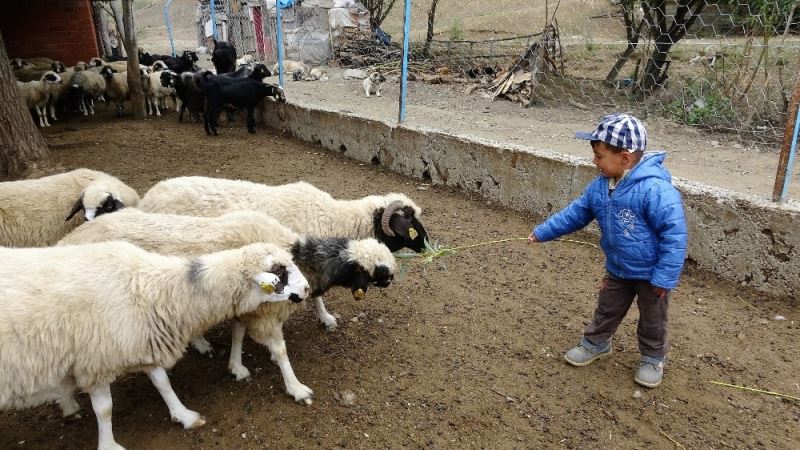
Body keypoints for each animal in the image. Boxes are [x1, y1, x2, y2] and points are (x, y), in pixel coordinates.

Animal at [0, 240, 310, 449]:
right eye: (280, 274)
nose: (307, 289)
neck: (152, 289)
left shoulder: (145, 343)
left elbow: (162, 383)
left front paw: (184, 416)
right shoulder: (97, 362)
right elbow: (105, 410)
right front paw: (109, 444)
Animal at [59, 208, 396, 403]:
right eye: (378, 273)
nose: (393, 280)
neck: (298, 254)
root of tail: (69, 239)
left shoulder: (247, 307)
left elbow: (238, 332)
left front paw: (236, 365)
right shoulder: (263, 311)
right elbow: (280, 351)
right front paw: (296, 387)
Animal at [138, 177, 428, 329]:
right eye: (410, 224)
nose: (426, 245)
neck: (335, 218)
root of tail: (147, 197)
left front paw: (325, 318)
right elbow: (316, 294)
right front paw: (325, 316)